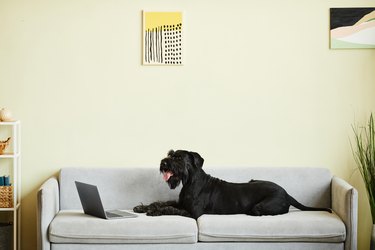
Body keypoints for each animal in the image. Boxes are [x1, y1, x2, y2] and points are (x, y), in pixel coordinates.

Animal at [133, 150, 332, 219]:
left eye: (179, 158)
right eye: (170, 154)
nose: (163, 162)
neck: (190, 182)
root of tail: (287, 192)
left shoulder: (192, 212)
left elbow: (170, 208)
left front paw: (154, 212)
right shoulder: (181, 203)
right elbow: (164, 202)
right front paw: (143, 207)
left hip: (262, 206)